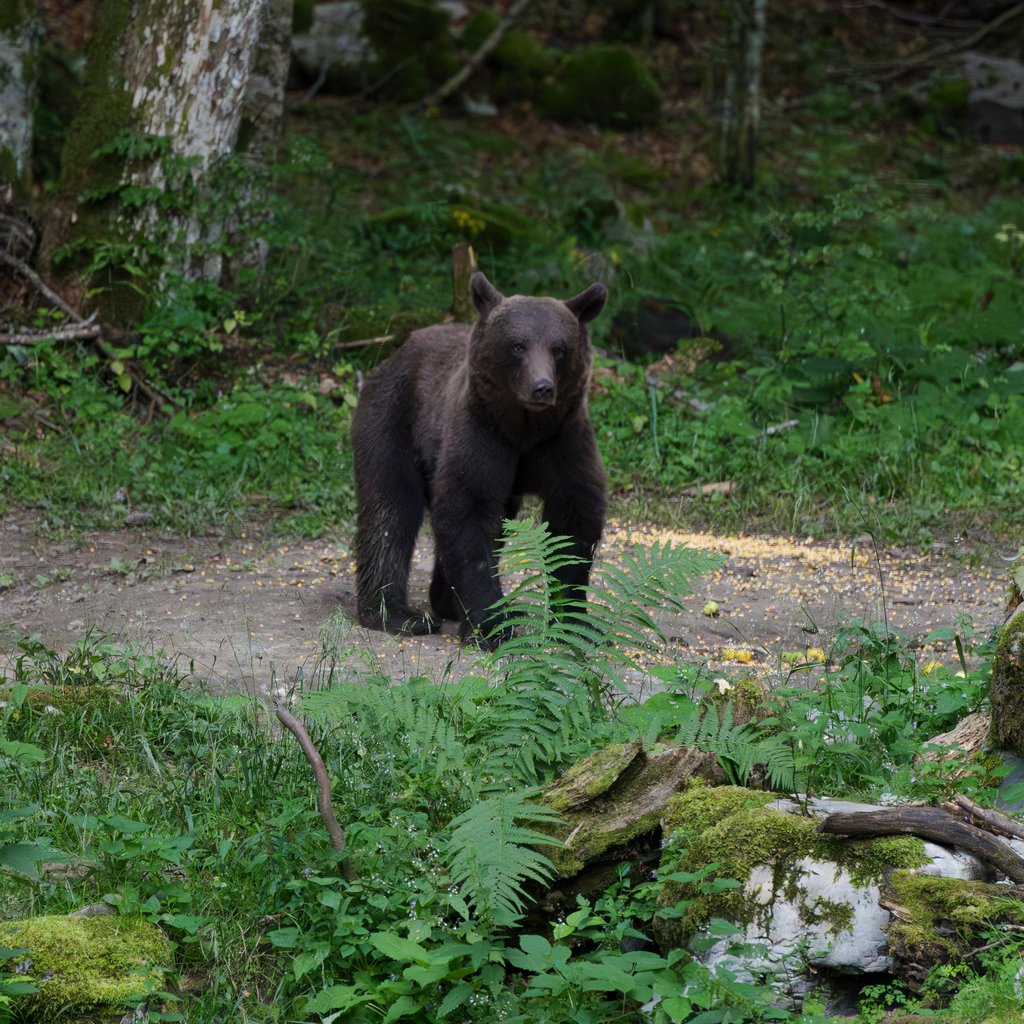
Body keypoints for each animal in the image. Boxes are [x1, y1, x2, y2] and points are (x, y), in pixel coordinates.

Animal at [351, 272, 608, 645]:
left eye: (559, 348)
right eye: (517, 345)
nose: (542, 388)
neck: (521, 429)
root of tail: (397, 351)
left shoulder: (562, 441)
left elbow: (575, 516)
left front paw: (576, 622)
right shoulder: (481, 435)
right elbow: (467, 512)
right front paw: (492, 625)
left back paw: (447, 603)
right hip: (392, 419)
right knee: (390, 509)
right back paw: (397, 613)